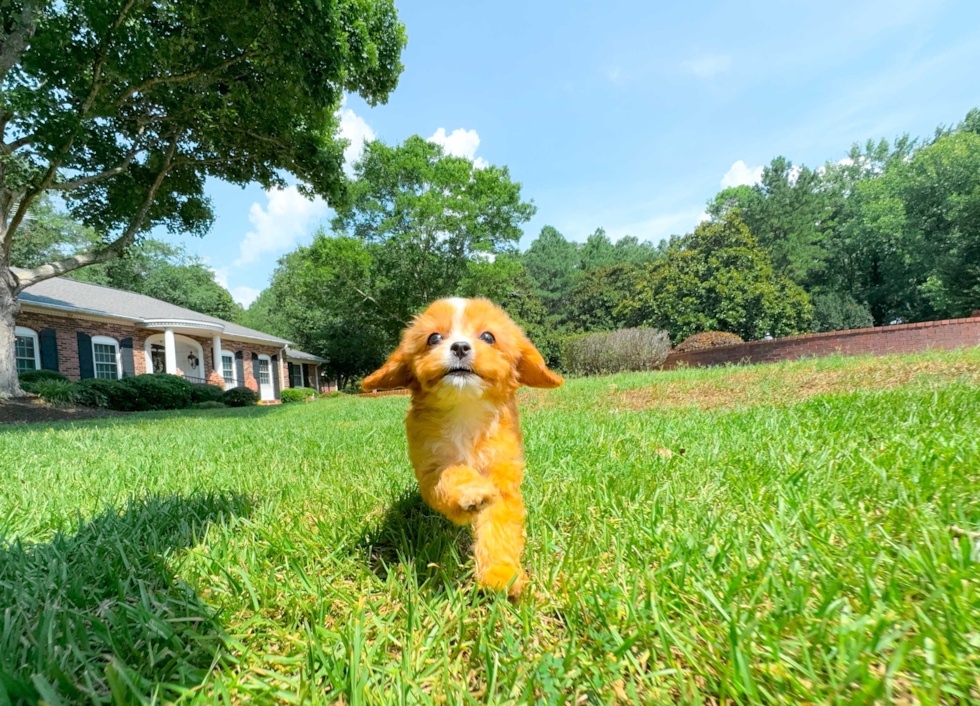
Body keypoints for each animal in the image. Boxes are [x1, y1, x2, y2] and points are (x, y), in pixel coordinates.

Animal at [362, 296, 564, 592]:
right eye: (434, 338)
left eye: (488, 337)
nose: (459, 346)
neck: (464, 409)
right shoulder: (431, 467)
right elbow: (452, 475)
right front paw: (470, 493)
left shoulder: (502, 472)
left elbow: (500, 525)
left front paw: (501, 573)